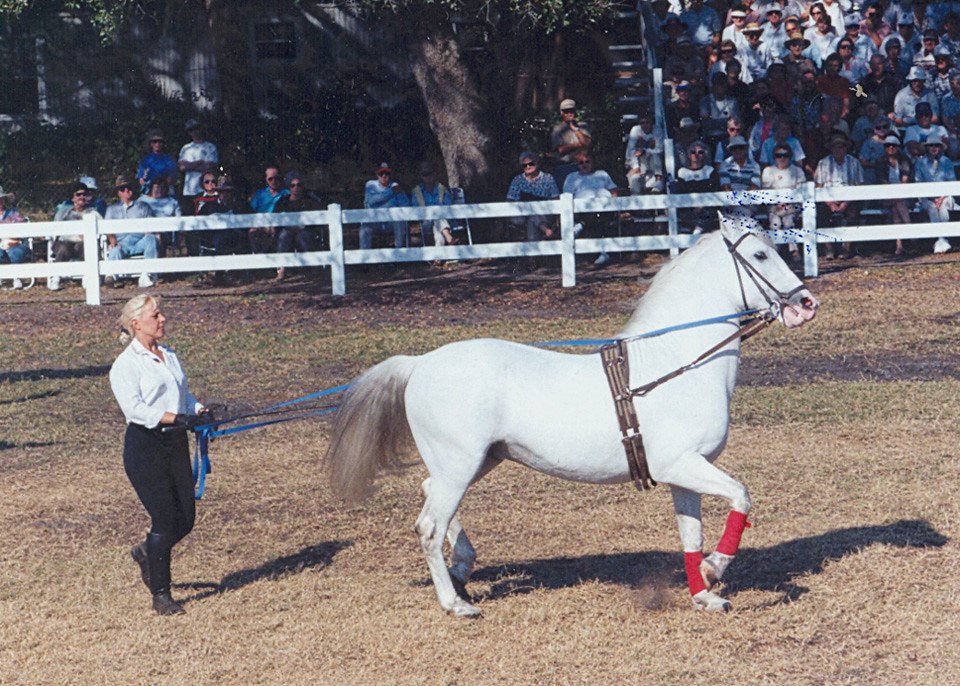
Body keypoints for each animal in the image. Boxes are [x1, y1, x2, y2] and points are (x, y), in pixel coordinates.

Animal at [325, 214, 819, 616]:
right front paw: (717, 569)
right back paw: (455, 604)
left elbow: (690, 536)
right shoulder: (681, 465)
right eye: (761, 254)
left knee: (432, 498)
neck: (675, 363)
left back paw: (463, 570)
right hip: (459, 464)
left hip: (478, 461)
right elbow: (741, 496)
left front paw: (705, 595)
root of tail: (420, 363)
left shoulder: (684, 473)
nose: (806, 304)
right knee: (429, 524)